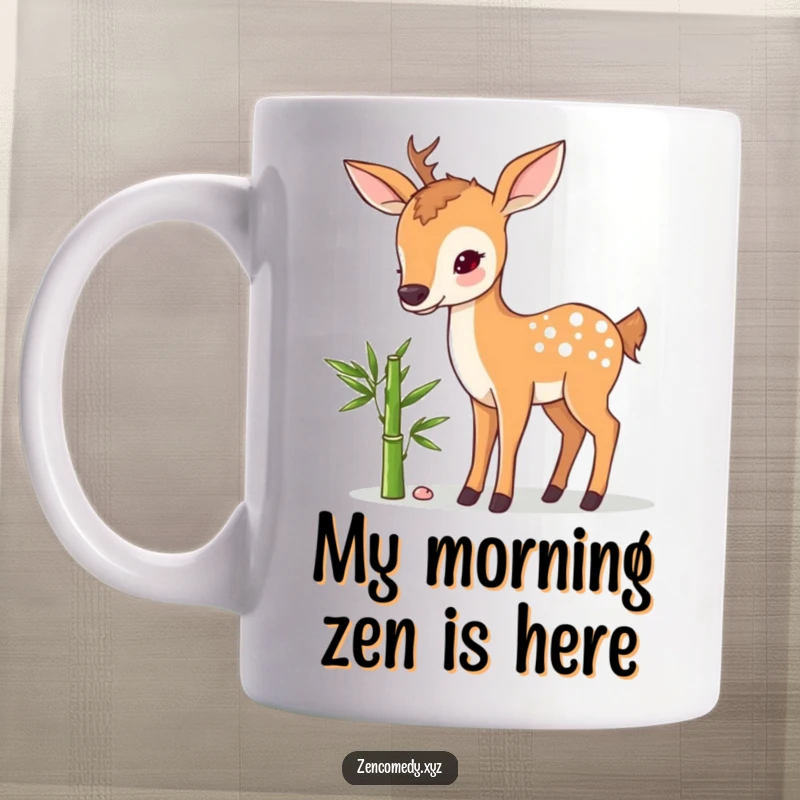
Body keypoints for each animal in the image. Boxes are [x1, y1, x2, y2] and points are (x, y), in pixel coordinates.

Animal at [343, 137, 646, 513]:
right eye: (401, 259)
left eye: (467, 260)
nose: (411, 293)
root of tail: (616, 329)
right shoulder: (482, 401)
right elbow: (482, 445)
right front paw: (468, 495)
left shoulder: (513, 394)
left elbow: (510, 443)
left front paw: (500, 500)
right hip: (557, 399)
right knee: (573, 431)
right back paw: (553, 493)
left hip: (587, 388)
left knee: (608, 427)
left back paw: (591, 498)